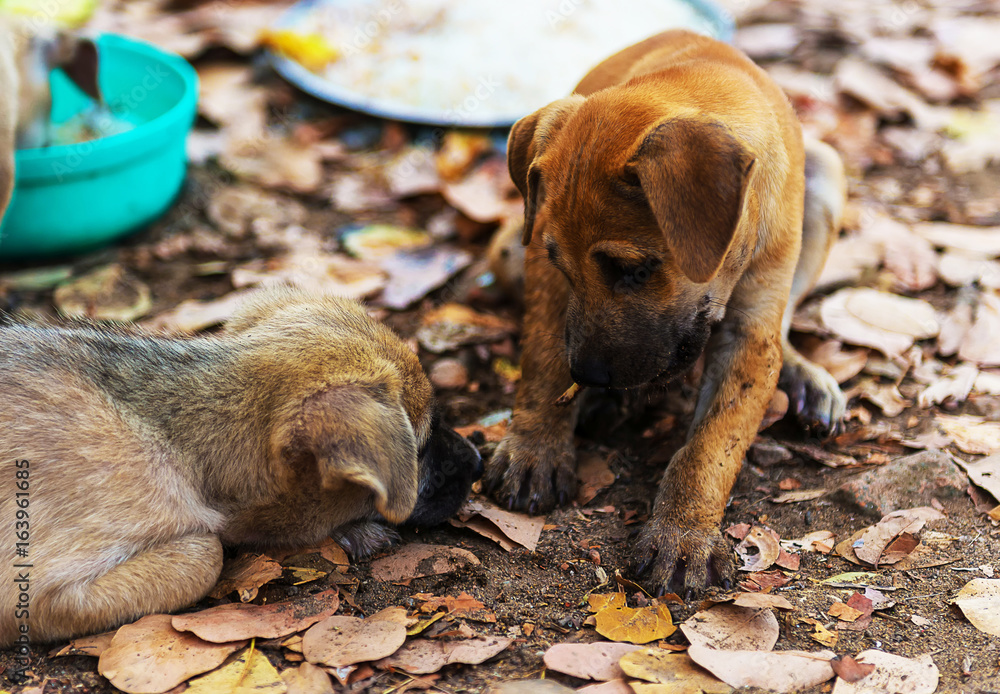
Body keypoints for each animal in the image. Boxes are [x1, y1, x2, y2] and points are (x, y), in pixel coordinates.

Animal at [484, 31, 844, 600]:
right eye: (561, 264)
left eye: (634, 269)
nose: (590, 376)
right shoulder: (541, 268)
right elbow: (543, 359)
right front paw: (534, 447)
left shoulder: (751, 331)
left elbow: (713, 445)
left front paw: (683, 534)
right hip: (506, 249)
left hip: (826, 175)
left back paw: (803, 376)